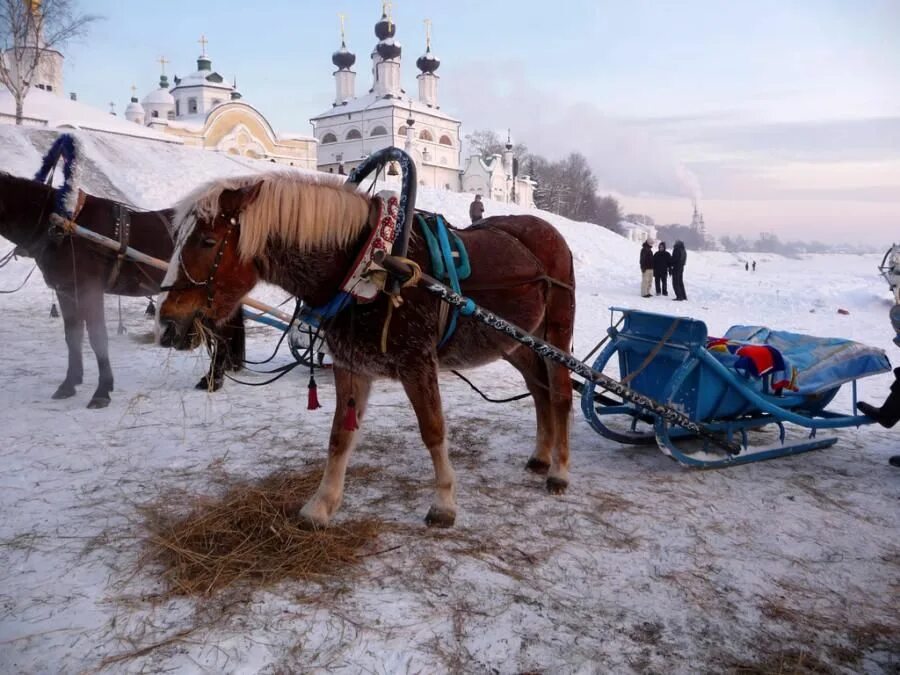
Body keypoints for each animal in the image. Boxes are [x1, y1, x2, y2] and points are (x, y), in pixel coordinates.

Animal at [0, 172, 246, 410]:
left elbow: (97, 338)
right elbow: (73, 336)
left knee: (223, 334)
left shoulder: (90, 290)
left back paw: (213, 378)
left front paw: (102, 392)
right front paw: (70, 383)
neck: (64, 227)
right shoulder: (66, 291)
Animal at [157, 173, 572, 528]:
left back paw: (559, 470)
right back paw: (541, 455)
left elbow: (433, 430)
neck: (371, 262)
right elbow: (340, 435)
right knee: (538, 390)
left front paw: (443, 502)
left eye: (208, 242)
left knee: (561, 395)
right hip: (515, 341)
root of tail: (548, 233)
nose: (168, 322)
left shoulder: (417, 362)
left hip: (555, 332)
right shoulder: (351, 363)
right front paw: (322, 505)